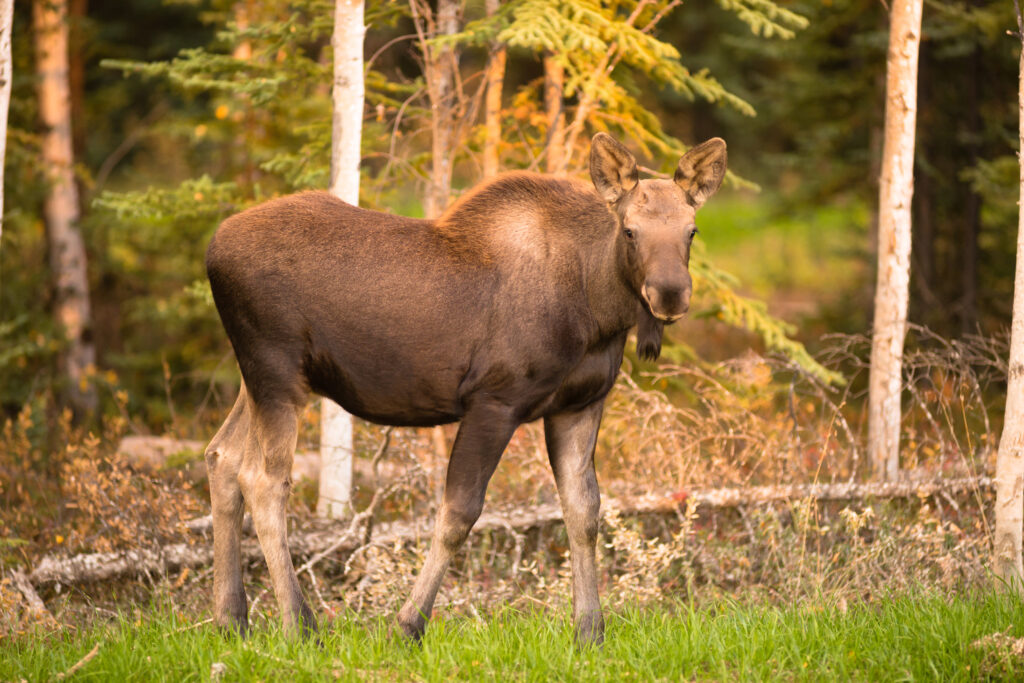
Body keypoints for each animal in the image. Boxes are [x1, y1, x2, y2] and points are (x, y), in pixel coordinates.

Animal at [203, 133, 727, 646]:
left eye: (692, 231)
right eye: (630, 230)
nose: (670, 293)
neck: (598, 312)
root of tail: (210, 252)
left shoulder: (579, 405)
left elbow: (584, 512)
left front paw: (589, 632)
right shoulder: (494, 400)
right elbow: (459, 514)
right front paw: (407, 626)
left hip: (257, 379)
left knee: (221, 455)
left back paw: (231, 619)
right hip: (277, 373)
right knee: (262, 479)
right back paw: (299, 625)